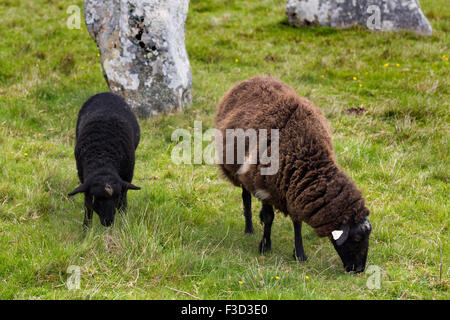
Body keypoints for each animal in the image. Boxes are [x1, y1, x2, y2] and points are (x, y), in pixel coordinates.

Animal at [68, 92, 141, 228]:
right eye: (97, 199)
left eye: (115, 198)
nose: (108, 221)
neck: (102, 158)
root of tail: (106, 93)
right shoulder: (84, 179)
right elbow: (88, 206)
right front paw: (86, 228)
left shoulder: (127, 176)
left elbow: (123, 201)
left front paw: (124, 223)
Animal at [214, 76, 372, 274]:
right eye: (357, 238)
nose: (359, 269)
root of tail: (256, 77)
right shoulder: (265, 186)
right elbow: (268, 217)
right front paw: (265, 246)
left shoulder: (295, 190)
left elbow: (297, 223)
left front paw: (299, 254)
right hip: (240, 172)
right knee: (246, 196)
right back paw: (249, 228)